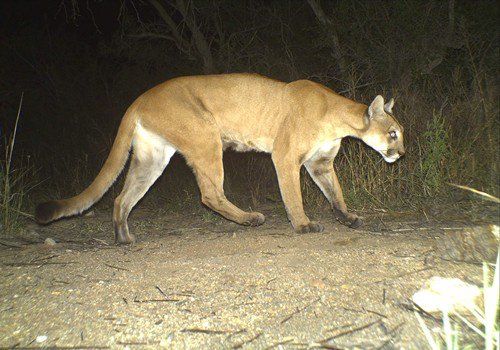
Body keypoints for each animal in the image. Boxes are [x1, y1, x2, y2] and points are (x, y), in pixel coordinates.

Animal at [35, 74, 404, 243]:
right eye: (393, 133)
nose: (402, 153)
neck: (338, 116)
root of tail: (139, 99)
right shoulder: (286, 157)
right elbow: (294, 196)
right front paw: (303, 225)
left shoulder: (320, 163)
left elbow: (335, 193)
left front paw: (348, 218)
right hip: (205, 135)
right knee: (210, 194)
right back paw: (250, 219)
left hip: (152, 158)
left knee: (121, 198)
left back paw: (124, 238)